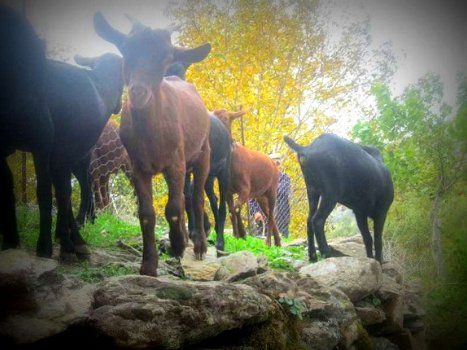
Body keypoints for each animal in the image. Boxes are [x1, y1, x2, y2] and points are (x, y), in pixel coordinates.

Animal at [94, 12, 211, 276]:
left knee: (197, 197)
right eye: (126, 49)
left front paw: (177, 245)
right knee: (186, 197)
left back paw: (198, 245)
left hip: (202, 154)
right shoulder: (137, 166)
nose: (138, 92)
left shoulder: (175, 162)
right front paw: (148, 264)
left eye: (166, 58)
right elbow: (146, 213)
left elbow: (174, 209)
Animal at [213, 110, 282, 247]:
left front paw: (241, 234)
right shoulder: (228, 191)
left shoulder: (245, 189)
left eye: (226, 118)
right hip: (260, 196)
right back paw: (277, 242)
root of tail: (274, 163)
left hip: (272, 190)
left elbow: (235, 208)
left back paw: (268, 242)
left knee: (271, 215)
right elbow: (232, 210)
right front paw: (237, 235)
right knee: (268, 214)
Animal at [286, 133, 394, 262]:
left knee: (309, 220)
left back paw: (313, 257)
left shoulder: (359, 214)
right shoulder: (381, 212)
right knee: (317, 220)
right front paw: (378, 260)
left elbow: (368, 238)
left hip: (313, 192)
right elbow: (377, 239)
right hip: (330, 195)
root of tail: (307, 149)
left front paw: (371, 259)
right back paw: (327, 253)